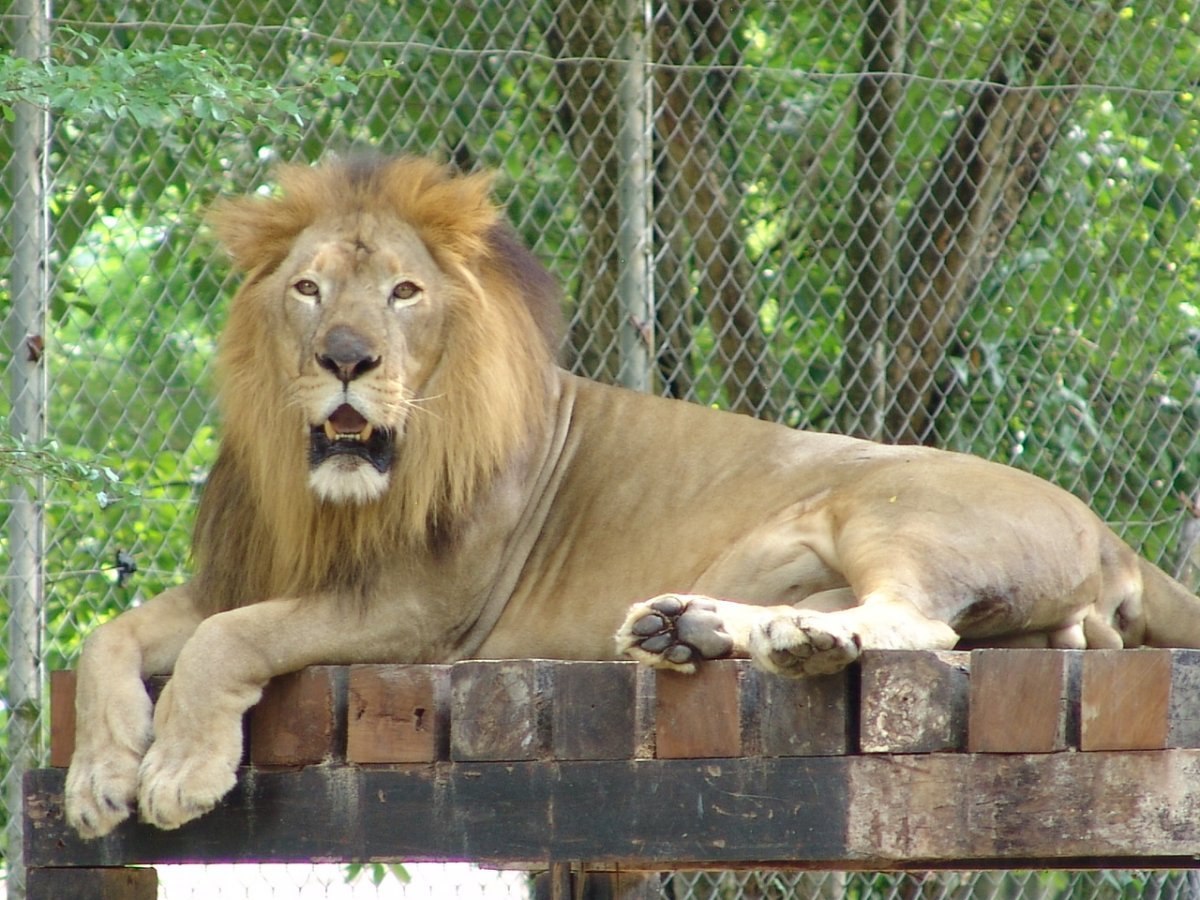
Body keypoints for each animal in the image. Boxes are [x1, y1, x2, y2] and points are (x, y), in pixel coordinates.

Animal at [65, 154, 1200, 840]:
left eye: (403, 292)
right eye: (308, 289)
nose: (347, 358)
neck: (331, 493)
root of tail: (1111, 533)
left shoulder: (424, 612)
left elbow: (232, 641)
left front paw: (177, 770)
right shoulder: (247, 569)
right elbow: (108, 636)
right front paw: (97, 775)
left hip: (883, 505)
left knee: (921, 625)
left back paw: (798, 644)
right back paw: (689, 629)